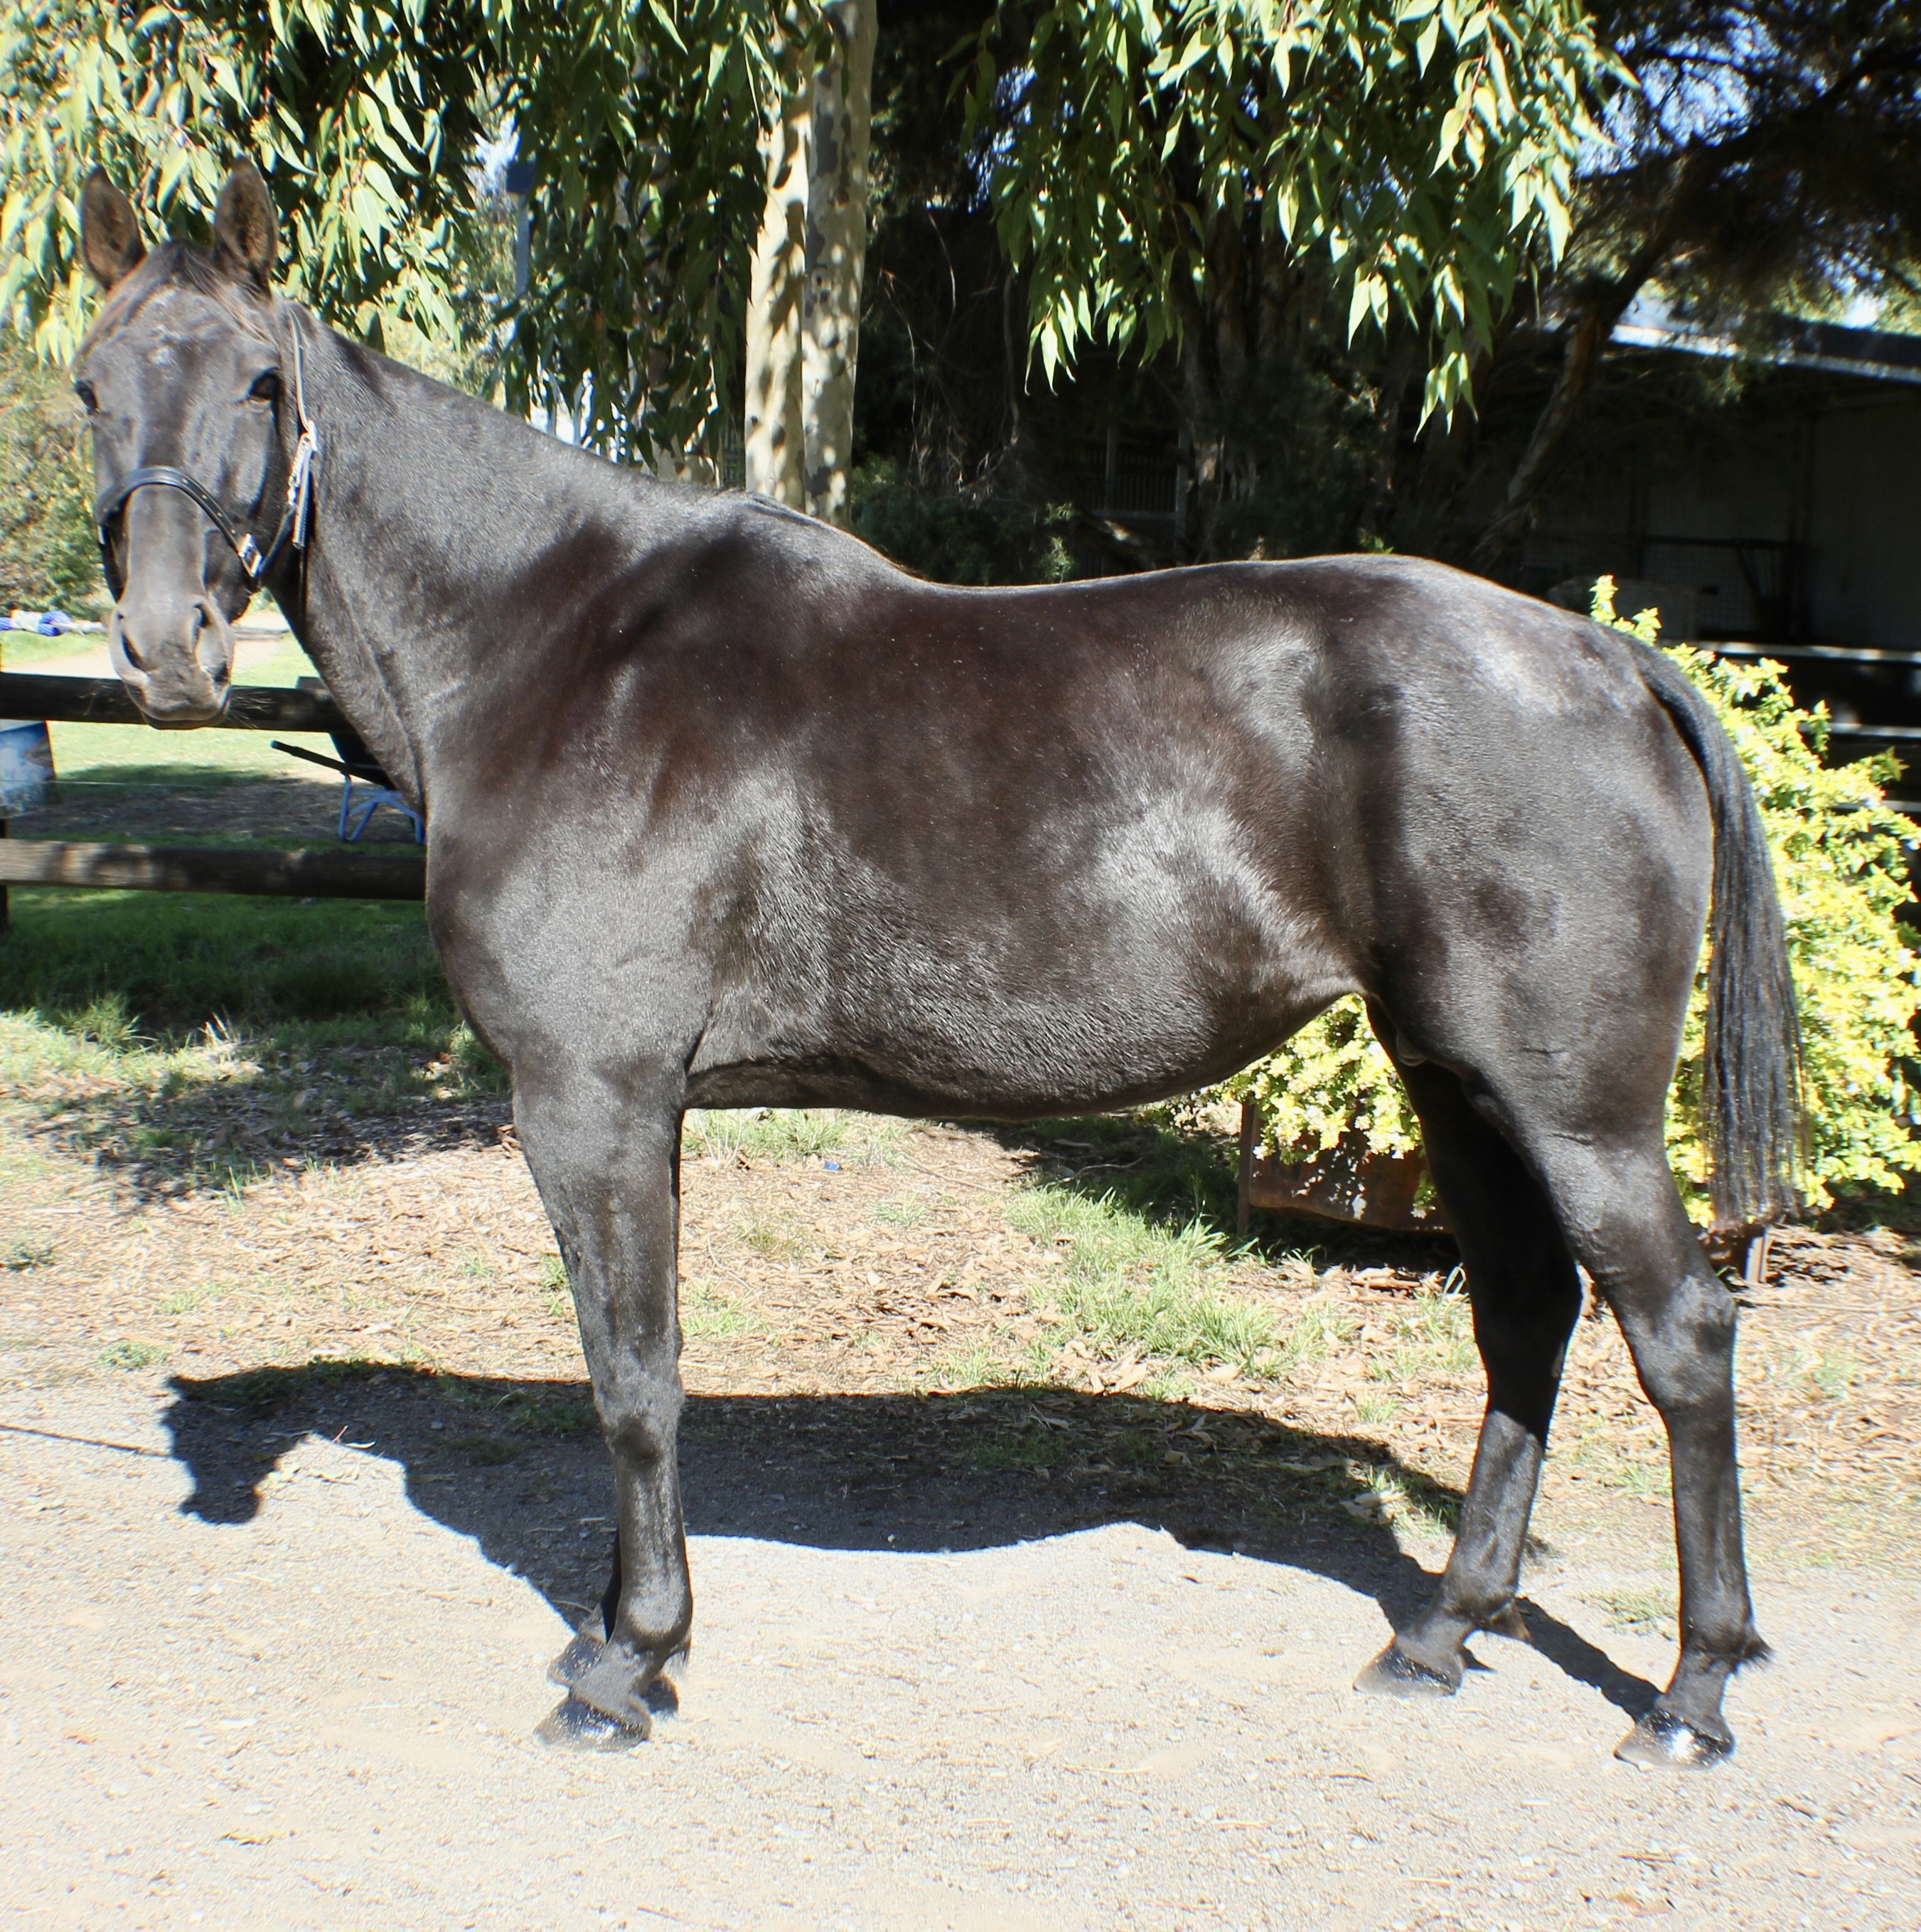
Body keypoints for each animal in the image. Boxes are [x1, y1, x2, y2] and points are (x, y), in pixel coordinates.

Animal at [71, 161, 1798, 1766]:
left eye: (258, 381)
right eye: (89, 384)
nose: (168, 652)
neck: (563, 648)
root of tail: (1607, 659)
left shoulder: (587, 1097)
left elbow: (631, 1380)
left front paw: (627, 1669)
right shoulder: (641, 1107)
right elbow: (646, 1361)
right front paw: (626, 1636)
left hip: (1572, 1109)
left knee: (1680, 1336)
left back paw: (1693, 1693)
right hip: (1453, 1076)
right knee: (1524, 1315)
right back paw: (1441, 1634)